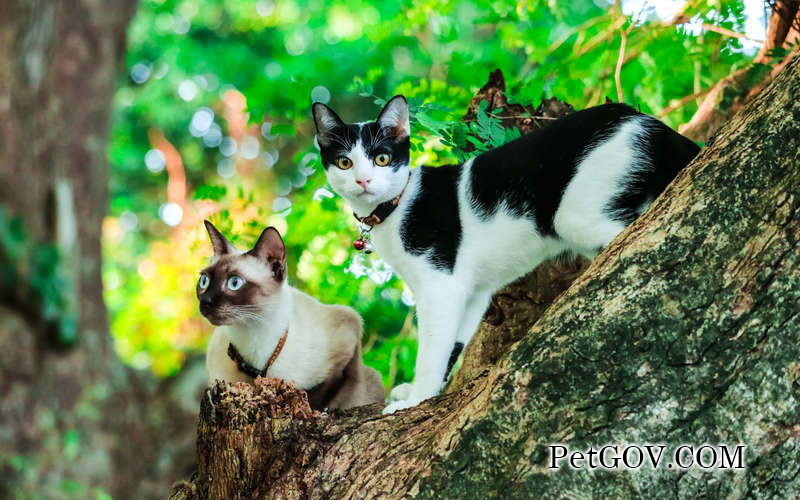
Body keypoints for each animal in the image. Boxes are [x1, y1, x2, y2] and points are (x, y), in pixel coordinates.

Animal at [312, 95, 700, 412]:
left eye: (382, 158)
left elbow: (433, 348)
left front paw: (415, 399)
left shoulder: (441, 285)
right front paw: (425, 394)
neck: (396, 205)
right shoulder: (471, 291)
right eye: (345, 163)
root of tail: (644, 119)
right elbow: (453, 343)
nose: (363, 181)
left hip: (576, 213)